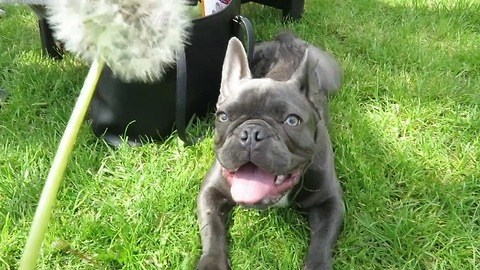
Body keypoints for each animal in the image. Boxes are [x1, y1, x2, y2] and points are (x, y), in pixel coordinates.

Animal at [197, 33, 344, 270]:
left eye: (292, 121)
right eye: (223, 116)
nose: (251, 133)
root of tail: (288, 40)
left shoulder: (329, 202)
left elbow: (322, 242)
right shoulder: (211, 192)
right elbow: (212, 228)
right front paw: (212, 263)